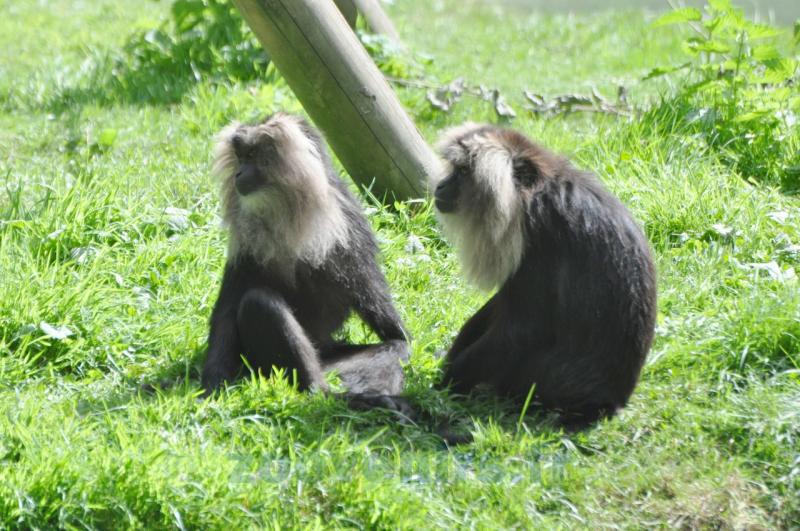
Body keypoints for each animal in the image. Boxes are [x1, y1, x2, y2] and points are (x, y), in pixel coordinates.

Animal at [202, 112, 410, 412]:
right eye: (240, 157)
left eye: (252, 155)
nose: (239, 173)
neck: (288, 215)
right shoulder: (245, 241)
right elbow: (227, 310)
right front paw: (211, 386)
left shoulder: (348, 226)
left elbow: (391, 329)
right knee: (258, 301)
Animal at [431, 123, 657, 429]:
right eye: (455, 168)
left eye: (464, 172)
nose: (440, 186)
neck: (535, 192)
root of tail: (610, 402)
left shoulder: (541, 235)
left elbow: (526, 329)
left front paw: (447, 383)